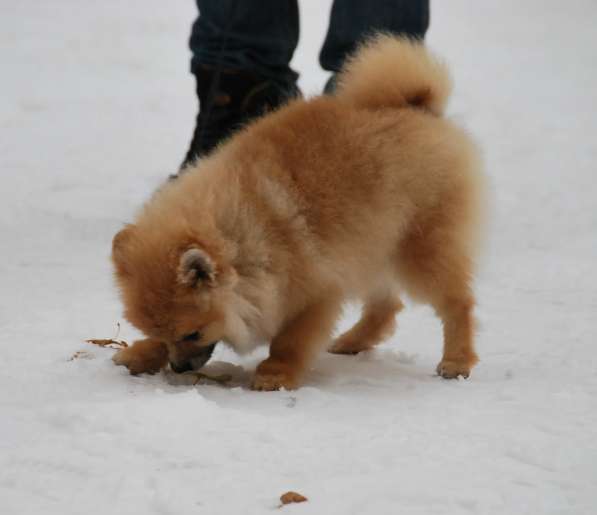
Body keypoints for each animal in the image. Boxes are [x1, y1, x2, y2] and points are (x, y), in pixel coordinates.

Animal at [110, 36, 484, 392]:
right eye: (163, 333)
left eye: (193, 334)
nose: (178, 367)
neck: (239, 239)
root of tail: (417, 105)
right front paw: (142, 353)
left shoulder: (315, 291)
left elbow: (290, 341)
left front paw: (275, 374)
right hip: (376, 242)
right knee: (386, 305)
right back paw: (352, 342)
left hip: (420, 248)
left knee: (457, 303)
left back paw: (456, 361)